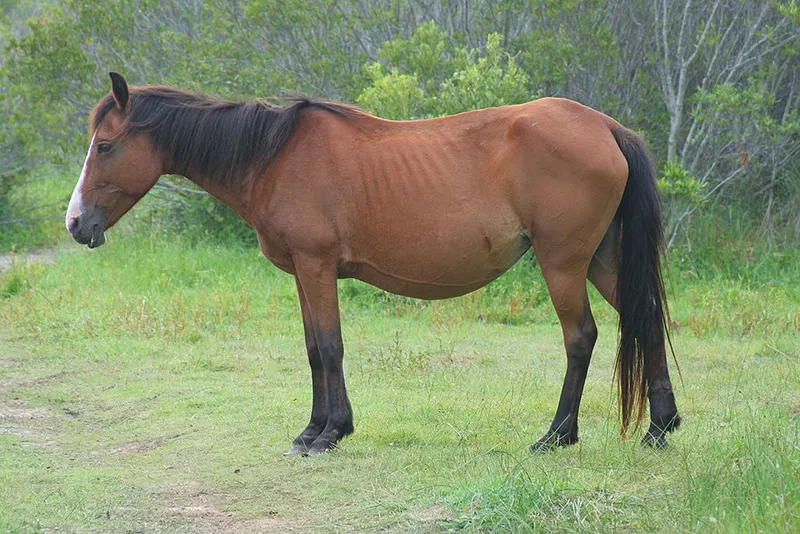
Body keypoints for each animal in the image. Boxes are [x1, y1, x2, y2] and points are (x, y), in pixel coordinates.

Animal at [66, 72, 680, 455]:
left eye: (105, 145)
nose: (75, 223)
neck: (273, 156)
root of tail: (605, 127)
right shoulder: (303, 274)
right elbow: (313, 349)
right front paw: (314, 428)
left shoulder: (316, 267)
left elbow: (329, 346)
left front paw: (329, 434)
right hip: (601, 260)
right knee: (646, 320)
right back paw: (660, 429)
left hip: (563, 264)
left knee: (581, 338)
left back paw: (556, 436)